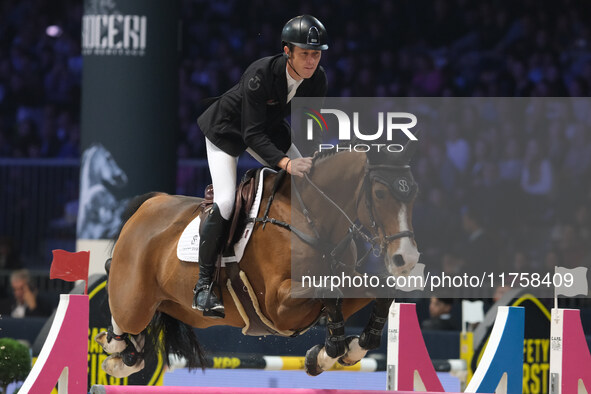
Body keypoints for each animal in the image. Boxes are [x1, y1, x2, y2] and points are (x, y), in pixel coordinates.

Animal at [96, 142, 420, 378]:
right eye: (380, 193)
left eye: (414, 192)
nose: (406, 257)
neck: (314, 221)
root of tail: (151, 203)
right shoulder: (277, 305)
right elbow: (330, 291)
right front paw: (331, 350)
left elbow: (379, 292)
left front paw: (341, 351)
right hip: (135, 302)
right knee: (121, 303)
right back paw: (116, 348)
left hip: (181, 308)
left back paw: (128, 353)